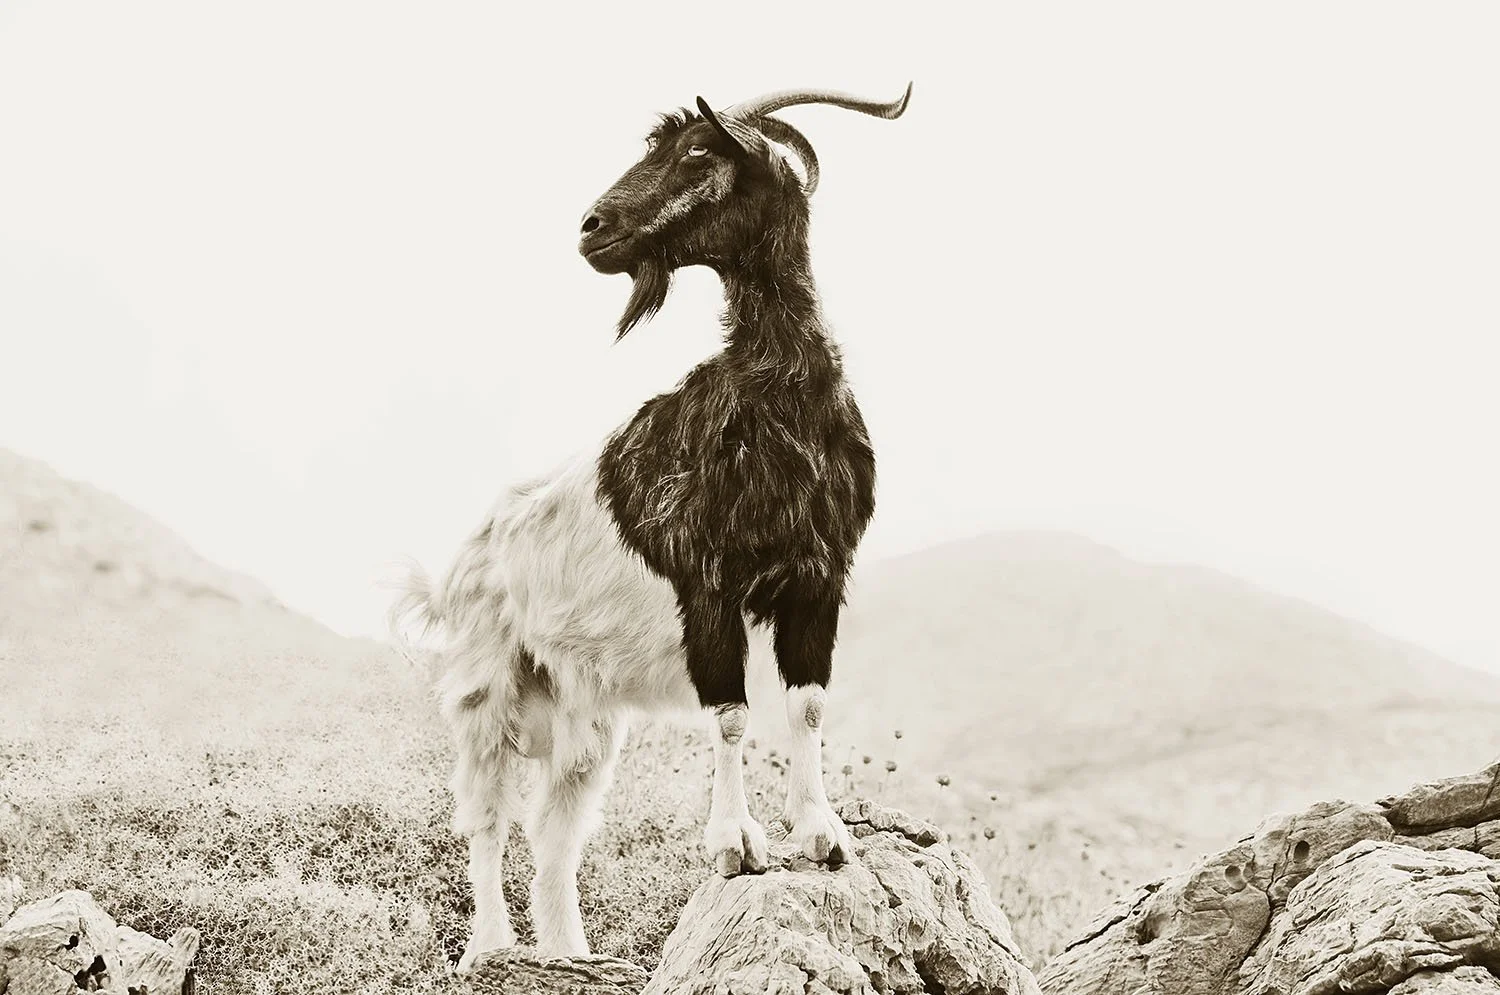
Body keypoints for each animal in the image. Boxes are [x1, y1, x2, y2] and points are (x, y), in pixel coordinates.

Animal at [391, 83, 911, 970]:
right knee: (486, 817)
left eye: (700, 150)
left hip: (584, 714)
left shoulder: (818, 579)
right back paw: (492, 947)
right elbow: (732, 713)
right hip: (484, 683)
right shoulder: (709, 586)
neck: (777, 398)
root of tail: (459, 566)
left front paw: (824, 835)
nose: (591, 227)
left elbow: (806, 706)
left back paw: (569, 952)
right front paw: (737, 846)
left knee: (554, 832)